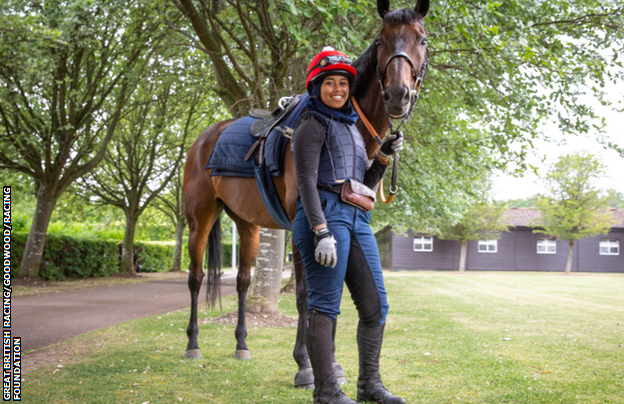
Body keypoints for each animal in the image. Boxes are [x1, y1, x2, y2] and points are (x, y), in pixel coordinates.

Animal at [183, 0, 432, 390]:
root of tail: (204, 139)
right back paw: (193, 345)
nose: (397, 95)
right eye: (381, 40)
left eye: (421, 39)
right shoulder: (306, 224)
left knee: (242, 282)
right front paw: (305, 366)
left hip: (248, 225)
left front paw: (334, 365)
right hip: (200, 220)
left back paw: (241, 345)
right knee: (195, 279)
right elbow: (305, 295)